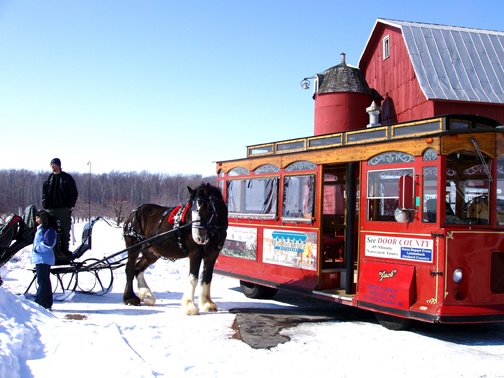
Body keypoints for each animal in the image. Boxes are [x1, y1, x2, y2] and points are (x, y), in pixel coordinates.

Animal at [123, 183, 229, 316]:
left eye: (206, 207)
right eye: (191, 209)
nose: (198, 237)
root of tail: (132, 213)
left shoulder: (212, 255)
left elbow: (207, 278)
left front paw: (207, 304)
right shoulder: (195, 253)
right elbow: (193, 278)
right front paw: (190, 306)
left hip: (151, 252)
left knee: (138, 268)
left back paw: (147, 295)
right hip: (133, 246)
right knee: (130, 268)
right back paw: (130, 298)